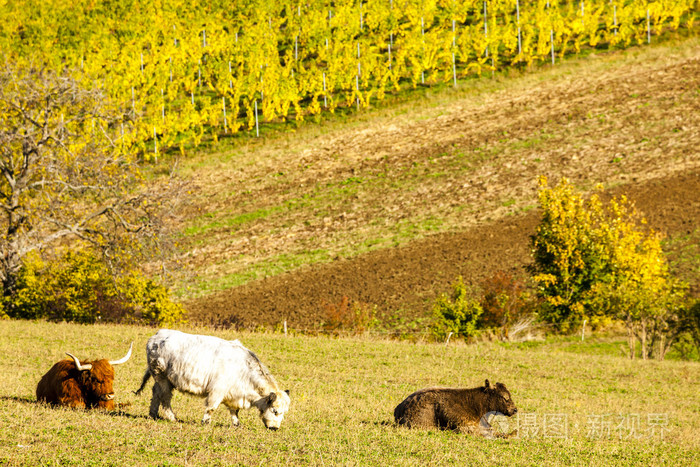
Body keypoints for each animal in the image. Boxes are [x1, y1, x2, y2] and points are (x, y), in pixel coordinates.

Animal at [134, 330, 290, 432]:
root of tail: (157, 336)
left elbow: (234, 411)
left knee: (156, 393)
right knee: (165, 398)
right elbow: (211, 407)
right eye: (275, 411)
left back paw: (153, 414)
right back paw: (172, 418)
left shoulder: (232, 394)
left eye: (284, 412)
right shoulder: (217, 391)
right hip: (162, 377)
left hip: (162, 379)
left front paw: (236, 424)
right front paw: (205, 422)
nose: (275, 428)